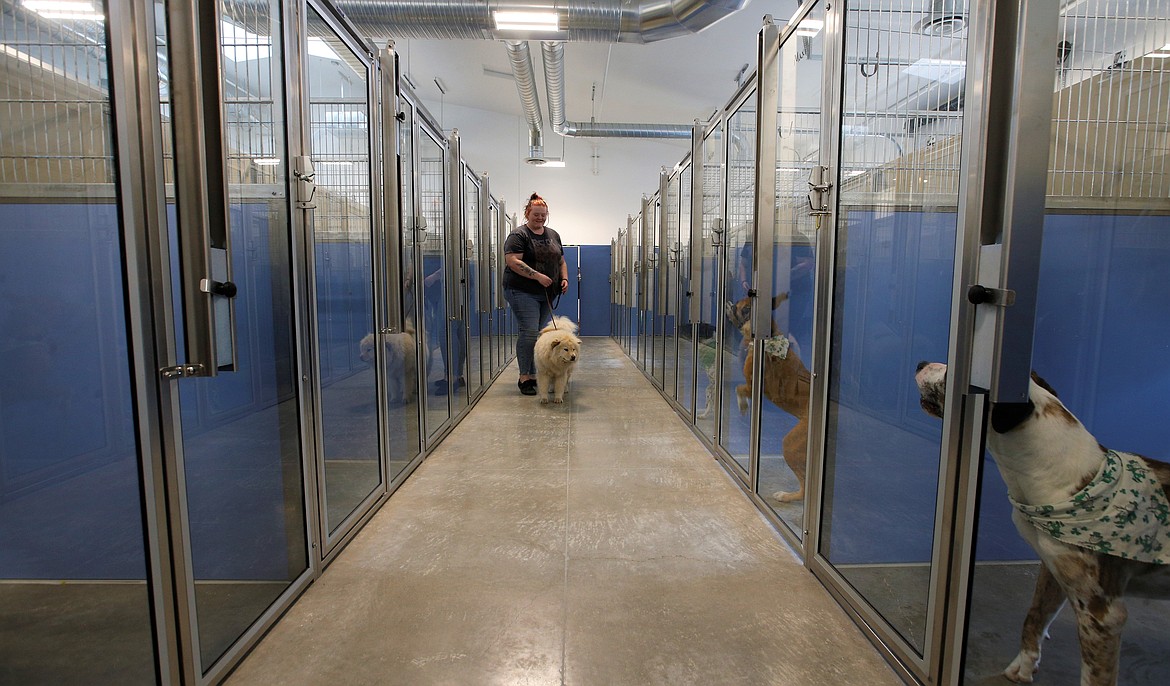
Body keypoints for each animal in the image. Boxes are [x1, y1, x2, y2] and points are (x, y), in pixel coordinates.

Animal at [912, 360, 1170, 678]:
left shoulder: (1102, 614)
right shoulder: (1053, 568)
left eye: (948, 375)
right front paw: (1023, 665)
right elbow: (1034, 614)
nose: (921, 363)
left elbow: (1095, 674)